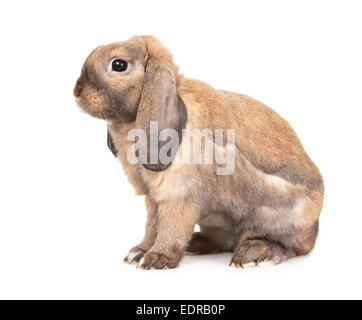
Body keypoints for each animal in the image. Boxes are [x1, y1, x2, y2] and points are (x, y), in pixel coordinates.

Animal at [74, 35, 326, 270]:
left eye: (118, 65)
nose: (76, 91)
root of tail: (315, 221)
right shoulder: (153, 198)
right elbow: (152, 225)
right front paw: (139, 252)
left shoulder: (180, 196)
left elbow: (172, 227)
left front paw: (156, 259)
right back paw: (197, 243)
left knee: (293, 245)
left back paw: (255, 252)